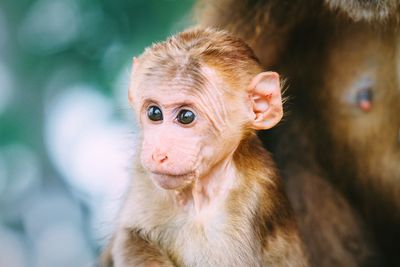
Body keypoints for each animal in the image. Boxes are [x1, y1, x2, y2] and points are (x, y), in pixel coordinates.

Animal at [101, 27, 308, 267]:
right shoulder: (143, 176)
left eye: (186, 116)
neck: (198, 195)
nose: (158, 154)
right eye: (154, 113)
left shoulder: (242, 212)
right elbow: (130, 235)